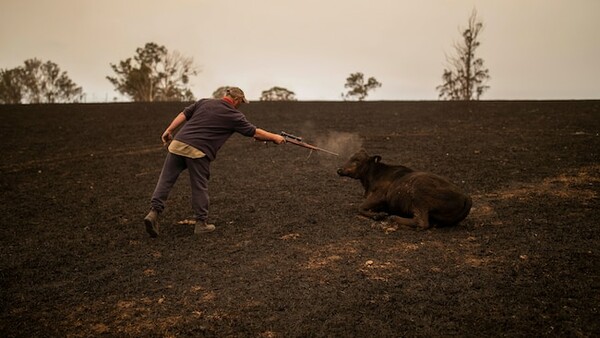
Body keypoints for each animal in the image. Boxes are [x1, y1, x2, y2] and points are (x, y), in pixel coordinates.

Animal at [336, 149, 472, 230]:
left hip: (419, 195)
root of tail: (466, 197)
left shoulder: (380, 196)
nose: (339, 170)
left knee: (422, 222)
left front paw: (378, 215)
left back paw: (394, 218)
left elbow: (360, 208)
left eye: (357, 160)